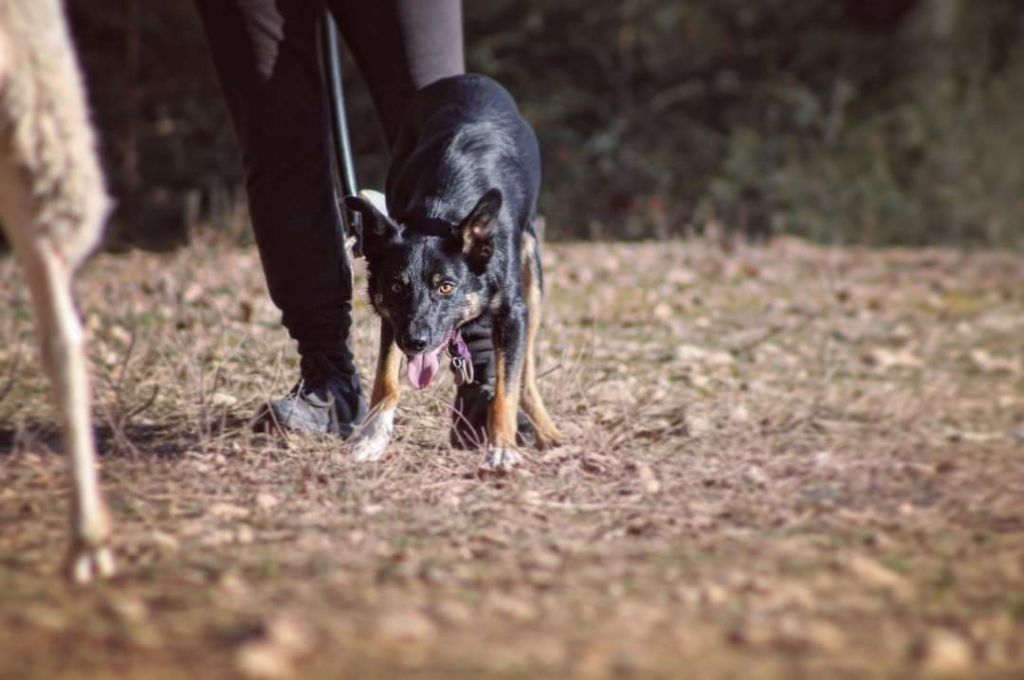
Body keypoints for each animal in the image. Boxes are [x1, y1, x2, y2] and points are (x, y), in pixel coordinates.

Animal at [348, 73, 565, 466]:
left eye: (446, 287)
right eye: (397, 287)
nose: (416, 342)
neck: (443, 208)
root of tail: (466, 78)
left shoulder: (513, 313)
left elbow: (506, 389)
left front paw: (501, 448)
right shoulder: (392, 318)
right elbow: (386, 378)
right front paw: (372, 437)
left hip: (533, 280)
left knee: (524, 375)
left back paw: (547, 431)